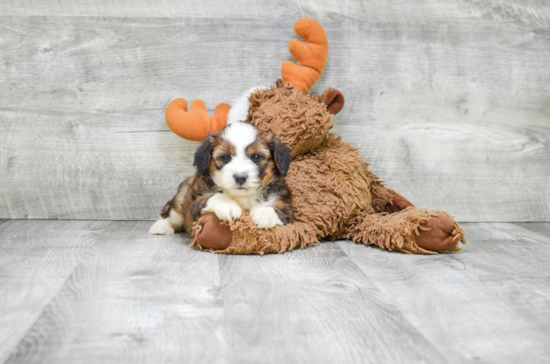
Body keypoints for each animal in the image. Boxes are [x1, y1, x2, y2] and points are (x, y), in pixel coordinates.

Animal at [147, 121, 294, 236]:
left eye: (256, 156)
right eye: (225, 157)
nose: (240, 177)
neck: (243, 197)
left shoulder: (286, 206)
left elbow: (280, 210)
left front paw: (264, 213)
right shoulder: (196, 205)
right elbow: (214, 196)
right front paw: (228, 206)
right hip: (182, 195)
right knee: (173, 214)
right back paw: (160, 227)